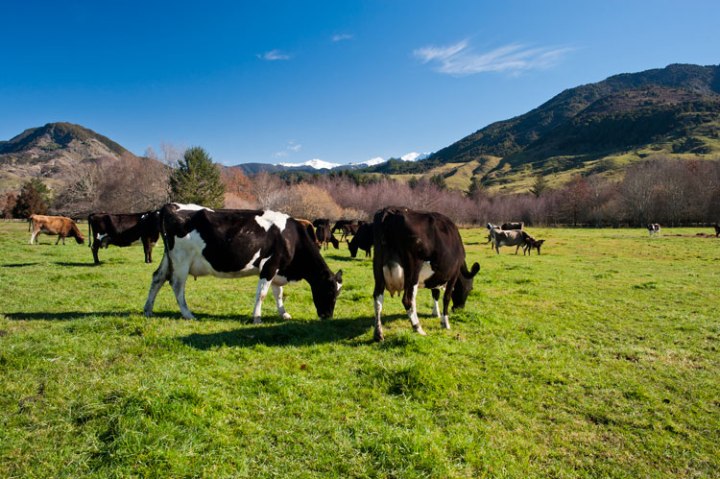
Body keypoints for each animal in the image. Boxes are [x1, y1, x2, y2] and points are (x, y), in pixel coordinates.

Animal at [144, 203, 343, 323]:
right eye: (330, 291)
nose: (328, 316)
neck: (291, 237)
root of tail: (171, 205)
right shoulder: (269, 266)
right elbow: (262, 294)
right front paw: (257, 317)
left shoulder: (278, 270)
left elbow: (278, 294)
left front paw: (284, 313)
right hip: (181, 260)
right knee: (176, 285)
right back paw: (188, 314)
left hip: (168, 258)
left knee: (157, 278)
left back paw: (148, 310)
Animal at [372, 207, 480, 341]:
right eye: (470, 289)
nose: (459, 308)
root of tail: (392, 210)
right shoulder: (453, 275)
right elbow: (446, 297)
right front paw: (445, 323)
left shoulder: (436, 275)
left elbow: (435, 293)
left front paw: (435, 313)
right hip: (412, 272)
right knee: (408, 300)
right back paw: (418, 328)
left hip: (378, 269)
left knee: (377, 298)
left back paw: (378, 333)